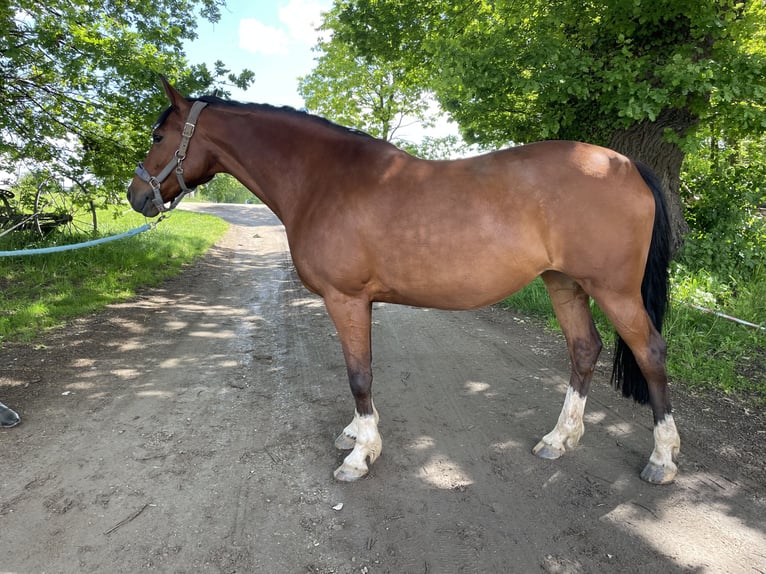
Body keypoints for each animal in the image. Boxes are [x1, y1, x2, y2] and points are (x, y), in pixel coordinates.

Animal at [128, 77, 681, 484]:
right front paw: (356, 434)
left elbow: (358, 374)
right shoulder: (359, 302)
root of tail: (625, 164)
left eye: (158, 137)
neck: (323, 180)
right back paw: (559, 440)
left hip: (614, 291)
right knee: (584, 350)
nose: (137, 196)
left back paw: (662, 458)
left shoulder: (346, 299)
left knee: (651, 353)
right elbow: (360, 370)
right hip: (563, 283)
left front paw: (360, 456)